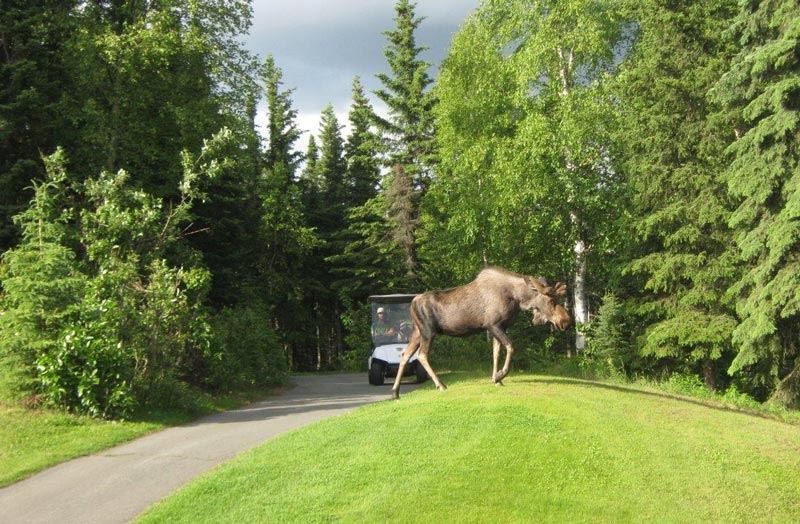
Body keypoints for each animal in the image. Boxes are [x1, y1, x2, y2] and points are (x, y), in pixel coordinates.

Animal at [392, 268, 568, 400]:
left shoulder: (501, 327)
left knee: (405, 354)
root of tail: (412, 303)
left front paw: (496, 379)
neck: (517, 298)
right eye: (551, 300)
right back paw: (440, 385)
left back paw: (395, 392)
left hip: (417, 332)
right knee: (422, 355)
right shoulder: (493, 325)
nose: (566, 321)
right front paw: (500, 375)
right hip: (429, 331)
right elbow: (510, 346)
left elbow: (496, 352)